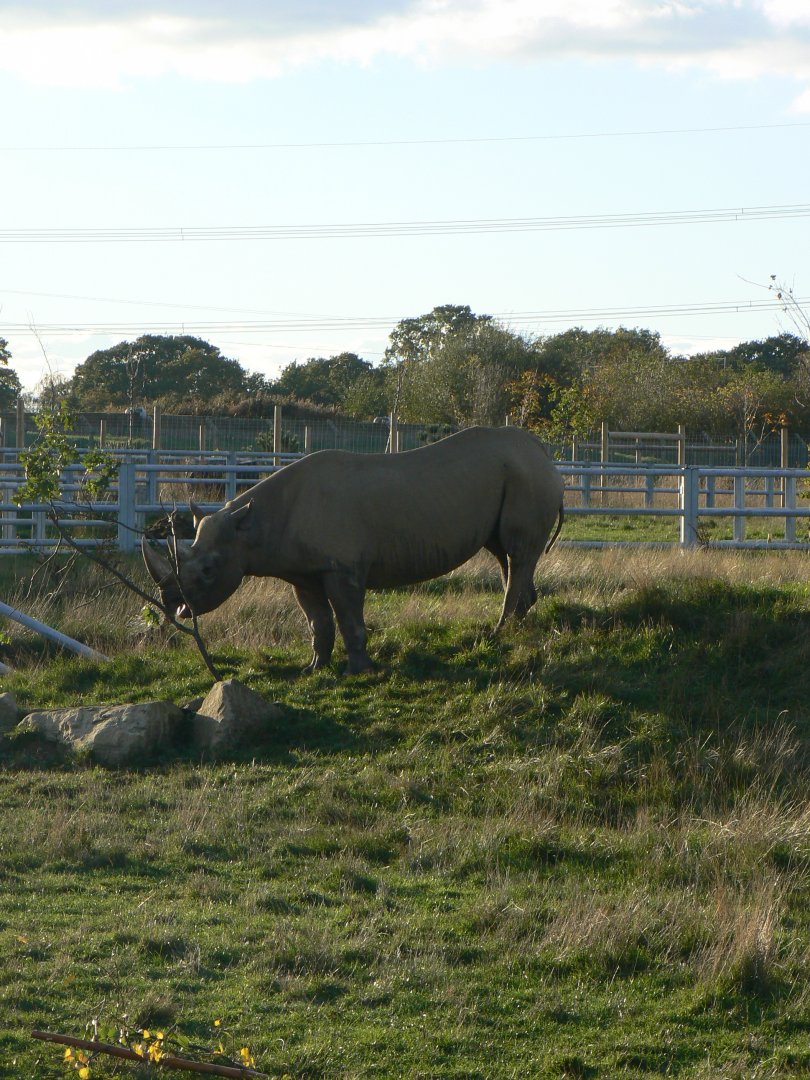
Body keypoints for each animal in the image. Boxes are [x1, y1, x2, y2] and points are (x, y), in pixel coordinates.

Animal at [142, 426, 564, 674]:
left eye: (208, 571)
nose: (176, 607)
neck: (251, 527)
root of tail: (544, 453)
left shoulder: (341, 568)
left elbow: (348, 618)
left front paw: (359, 670)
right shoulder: (303, 573)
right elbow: (318, 621)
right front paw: (314, 668)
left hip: (526, 477)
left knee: (516, 552)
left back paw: (499, 632)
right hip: (516, 476)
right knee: (506, 554)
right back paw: (517, 624)